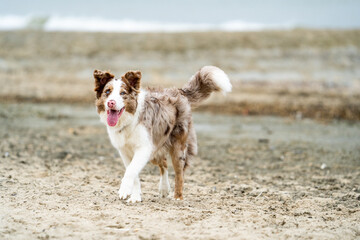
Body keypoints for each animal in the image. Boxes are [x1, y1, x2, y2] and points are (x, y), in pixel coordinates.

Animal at [93, 65, 231, 202]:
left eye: (122, 93)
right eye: (107, 92)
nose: (111, 102)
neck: (129, 120)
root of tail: (179, 92)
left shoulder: (144, 148)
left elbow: (131, 171)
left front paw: (124, 190)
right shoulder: (125, 151)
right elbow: (134, 172)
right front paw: (135, 197)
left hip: (177, 148)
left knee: (179, 173)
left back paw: (178, 197)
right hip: (156, 149)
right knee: (164, 163)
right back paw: (164, 188)